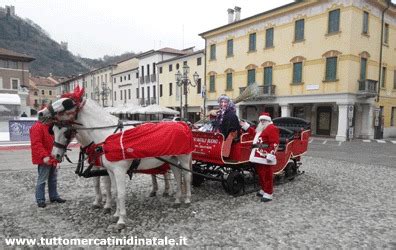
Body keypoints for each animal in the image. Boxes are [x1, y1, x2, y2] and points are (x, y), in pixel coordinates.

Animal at [41, 96, 193, 229]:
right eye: (53, 131)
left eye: (65, 104)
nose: (40, 113)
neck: (108, 136)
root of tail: (182, 124)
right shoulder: (109, 170)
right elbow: (112, 190)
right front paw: (115, 214)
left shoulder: (119, 171)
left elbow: (120, 193)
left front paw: (121, 219)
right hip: (172, 159)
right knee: (177, 175)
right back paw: (177, 199)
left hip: (184, 158)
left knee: (186, 176)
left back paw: (187, 199)